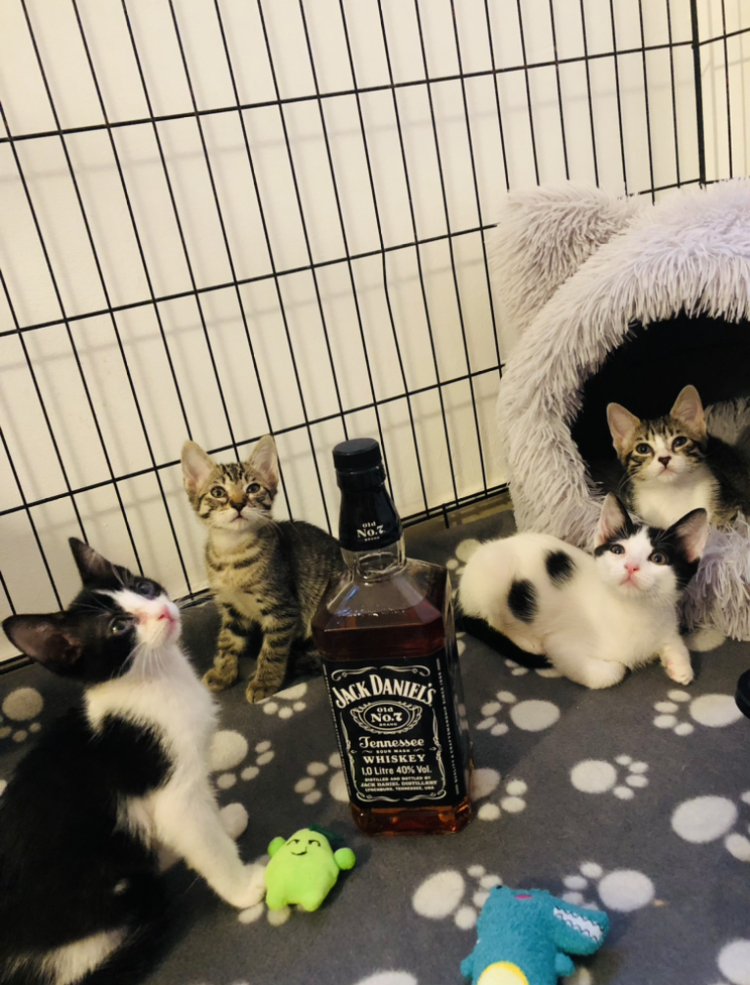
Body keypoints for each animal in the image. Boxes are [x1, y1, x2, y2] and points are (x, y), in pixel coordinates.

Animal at [0, 538, 265, 985]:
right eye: (118, 628)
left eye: (143, 587)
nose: (163, 611)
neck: (153, 682)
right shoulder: (170, 791)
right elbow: (201, 839)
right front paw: (244, 886)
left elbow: (203, 821)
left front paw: (223, 822)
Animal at [181, 435, 343, 703]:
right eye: (218, 492)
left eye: (253, 488)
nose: (238, 504)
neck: (232, 555)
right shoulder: (231, 608)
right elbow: (227, 642)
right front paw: (223, 673)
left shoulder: (283, 608)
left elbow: (272, 650)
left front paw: (265, 683)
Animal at [459, 494, 708, 690]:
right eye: (618, 550)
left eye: (658, 558)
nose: (630, 567)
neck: (634, 611)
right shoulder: (561, 646)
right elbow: (614, 671)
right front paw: (619, 666)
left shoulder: (666, 621)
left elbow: (674, 641)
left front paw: (680, 666)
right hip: (495, 577)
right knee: (493, 619)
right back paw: (526, 640)